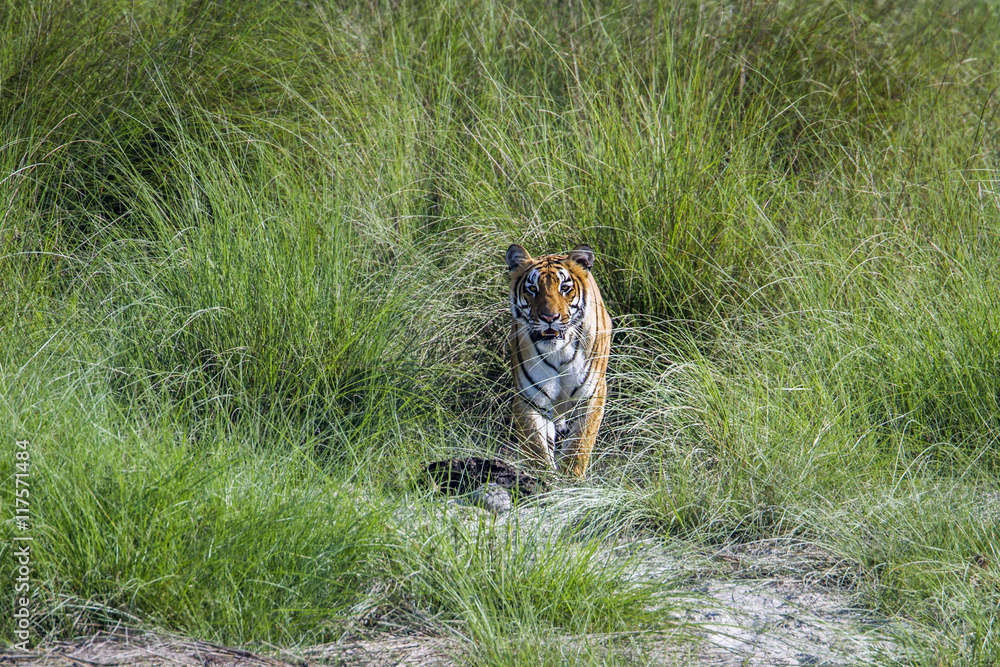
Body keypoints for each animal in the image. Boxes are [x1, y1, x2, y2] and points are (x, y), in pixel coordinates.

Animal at [505, 243, 613, 478]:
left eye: (564, 288)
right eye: (532, 289)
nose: (549, 318)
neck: (558, 351)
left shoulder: (591, 395)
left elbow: (578, 446)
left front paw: (571, 481)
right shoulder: (530, 399)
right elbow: (536, 448)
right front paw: (543, 479)